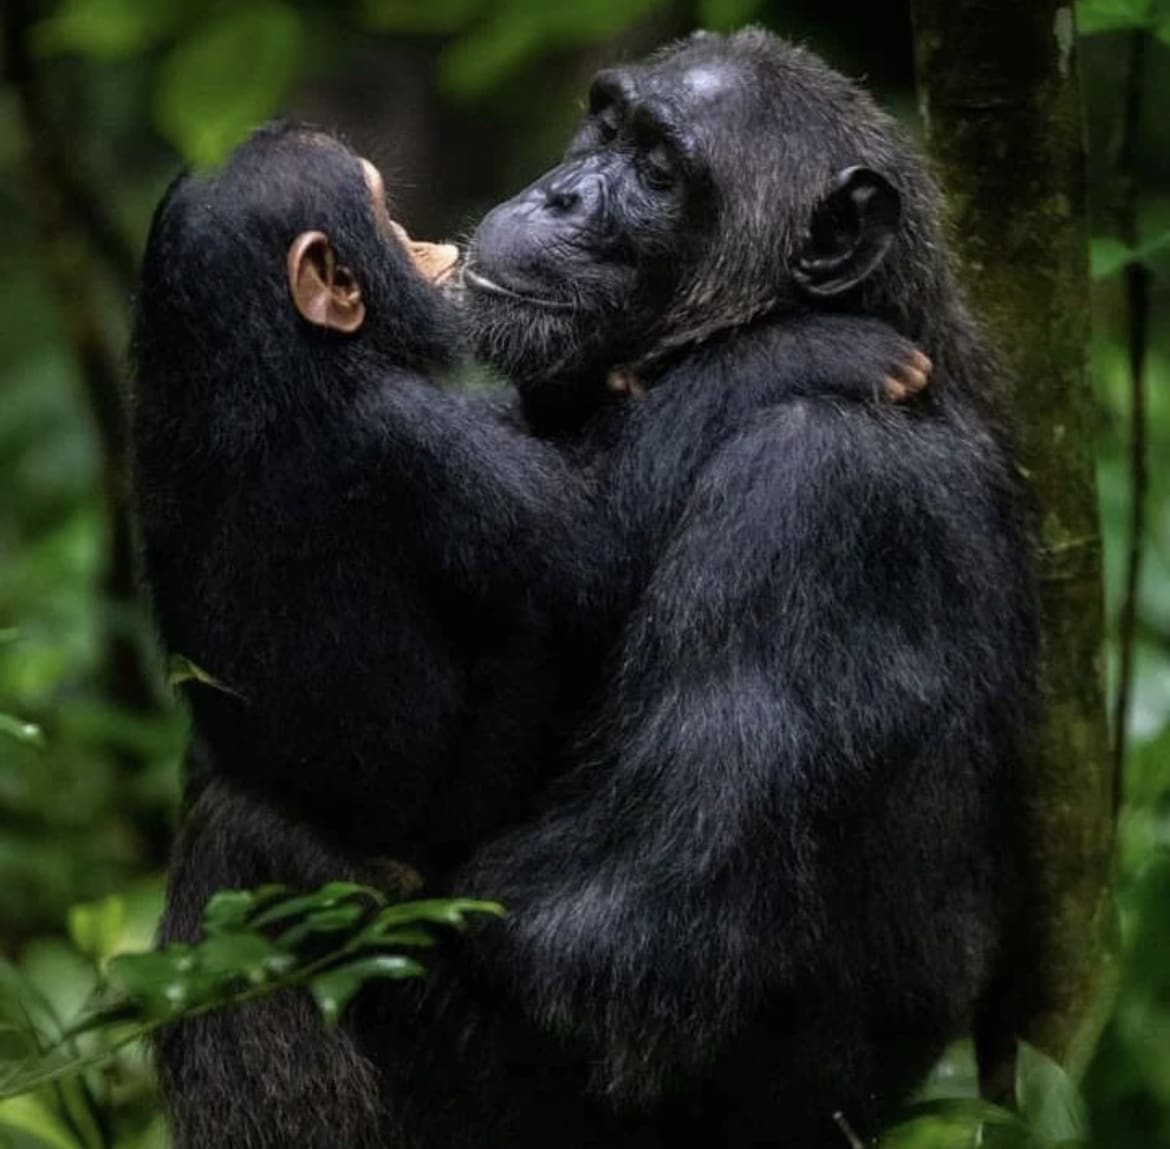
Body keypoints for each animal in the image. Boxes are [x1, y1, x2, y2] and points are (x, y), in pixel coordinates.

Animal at [128, 98, 935, 1149]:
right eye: (382, 211)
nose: (431, 240)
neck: (259, 352)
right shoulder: (428, 447)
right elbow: (588, 549)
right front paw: (809, 352)